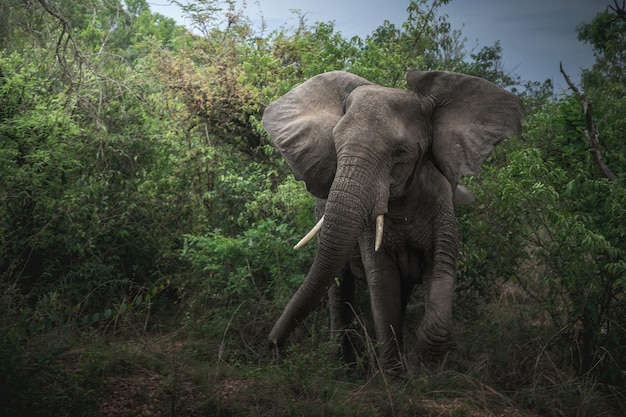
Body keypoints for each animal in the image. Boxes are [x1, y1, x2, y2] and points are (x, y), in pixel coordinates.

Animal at [260, 70, 524, 372]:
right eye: (335, 143)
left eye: (399, 152)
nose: (274, 347)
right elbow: (382, 282)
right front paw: (395, 376)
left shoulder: (443, 205)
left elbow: (441, 268)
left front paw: (421, 369)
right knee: (338, 289)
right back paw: (342, 369)